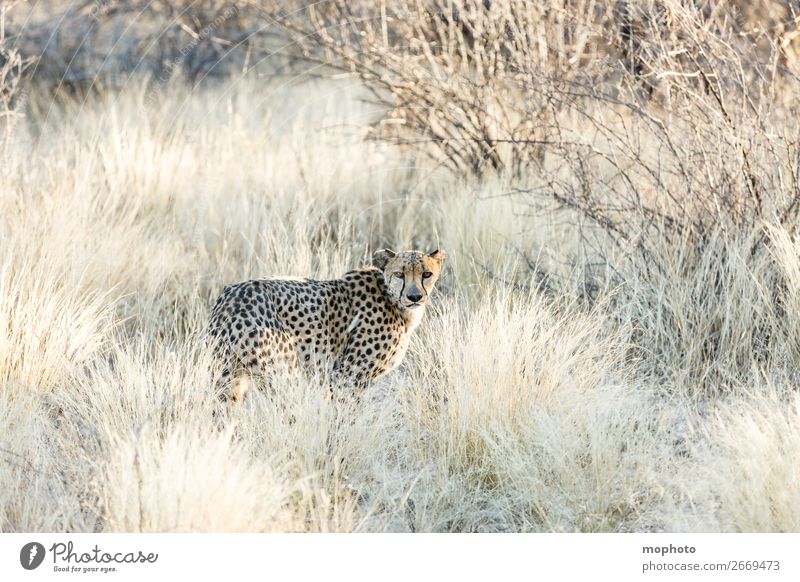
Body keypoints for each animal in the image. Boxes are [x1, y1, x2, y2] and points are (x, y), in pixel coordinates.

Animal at [206, 249, 446, 404]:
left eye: (427, 274)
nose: (414, 296)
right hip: (284, 375)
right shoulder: (347, 377)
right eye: (399, 274)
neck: (392, 299)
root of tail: (232, 297)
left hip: (227, 377)